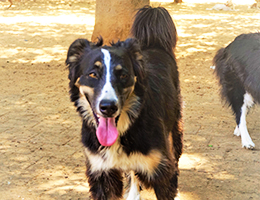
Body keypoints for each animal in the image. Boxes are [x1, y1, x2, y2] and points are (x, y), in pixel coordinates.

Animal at [65, 5, 183, 199]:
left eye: (123, 74)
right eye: (92, 74)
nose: (108, 107)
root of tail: (155, 44)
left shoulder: (161, 171)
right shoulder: (101, 172)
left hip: (175, 126)